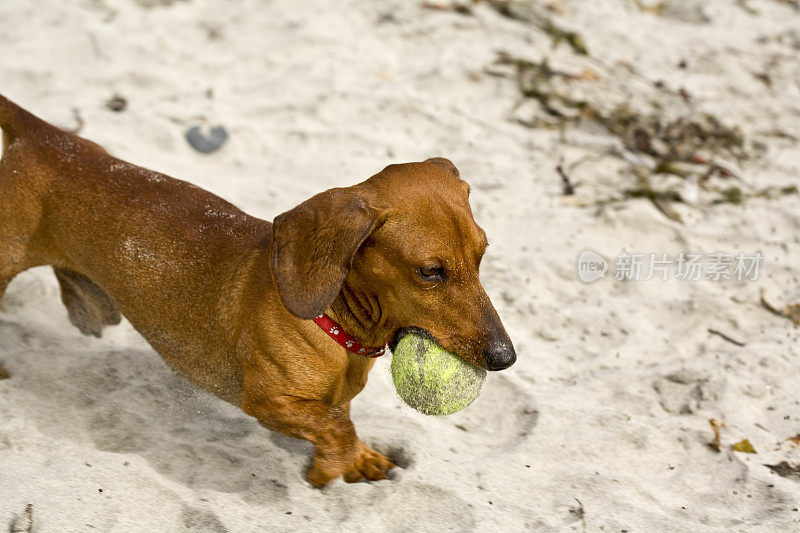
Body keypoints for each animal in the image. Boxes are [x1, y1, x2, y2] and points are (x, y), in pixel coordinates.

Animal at [0, 92, 516, 486]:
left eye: (482, 254)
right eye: (430, 271)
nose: (505, 357)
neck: (334, 326)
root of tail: (46, 136)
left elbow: (341, 418)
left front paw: (359, 458)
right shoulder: (267, 401)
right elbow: (336, 424)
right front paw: (335, 466)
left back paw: (84, 305)